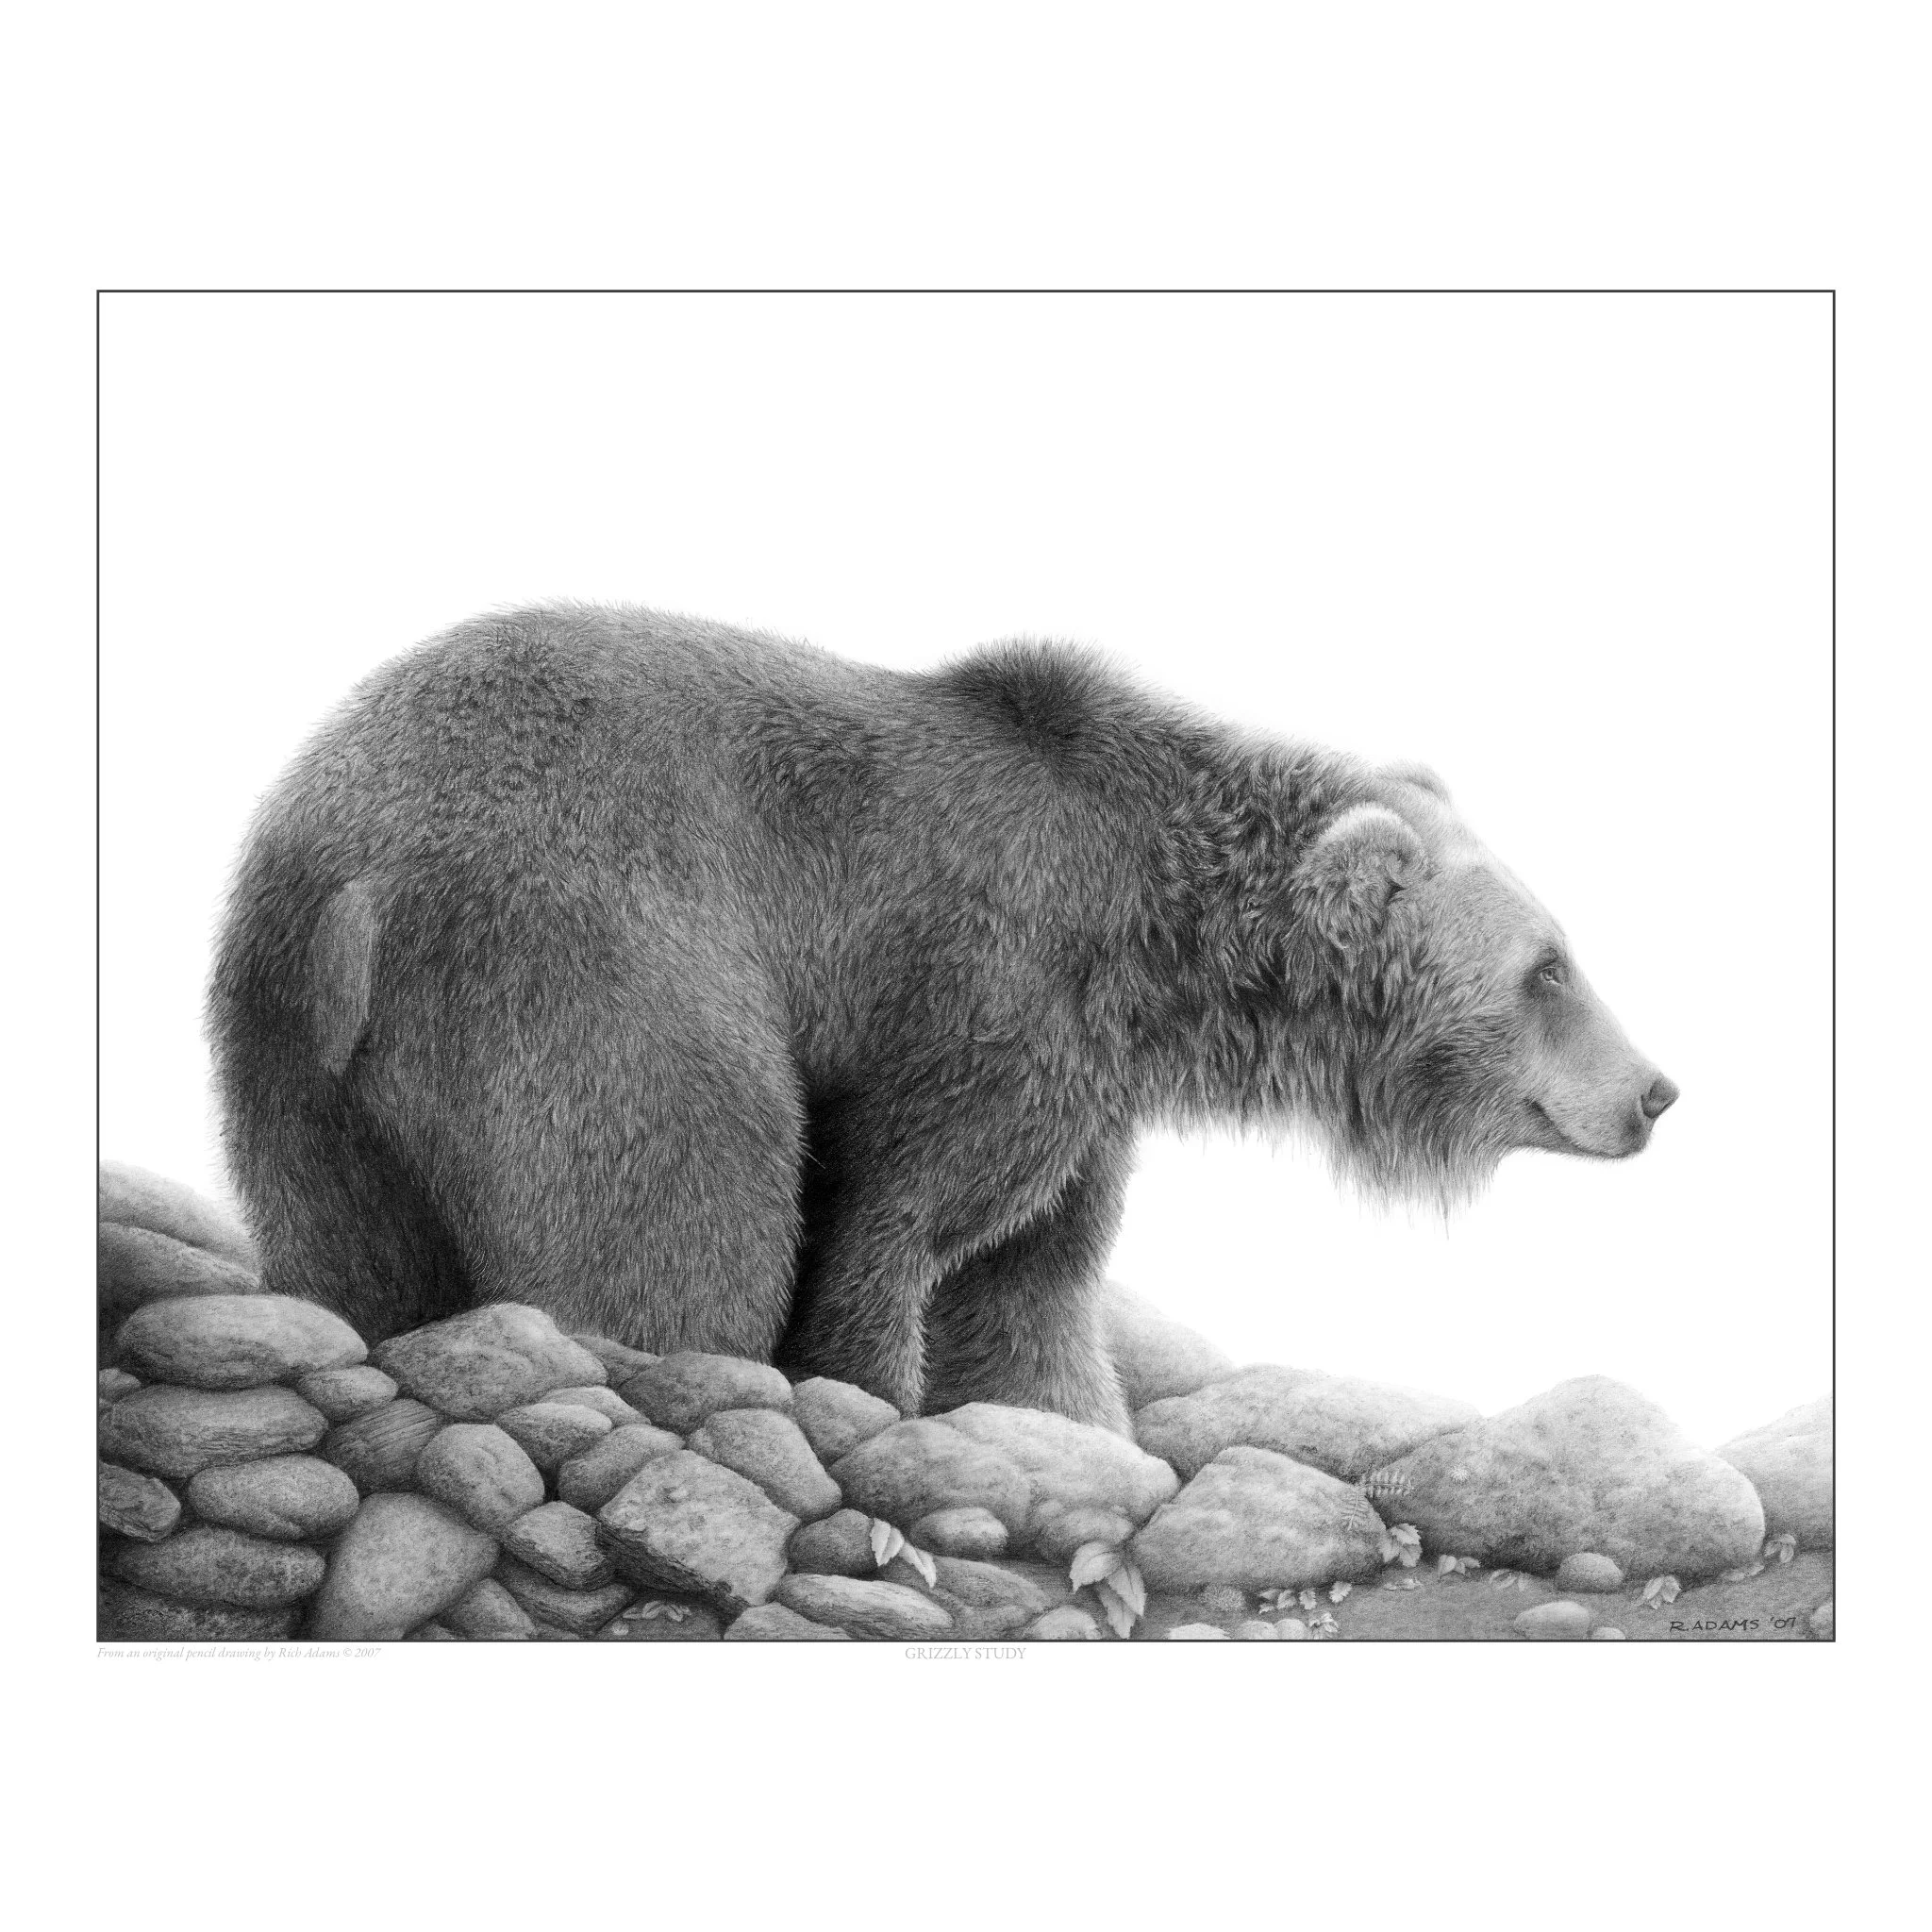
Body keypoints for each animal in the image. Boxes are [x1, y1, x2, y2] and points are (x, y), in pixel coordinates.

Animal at [208, 603, 1677, 1437]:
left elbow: (1023, 1286)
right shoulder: (990, 998)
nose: (1657, 1090)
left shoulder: (1088, 1091)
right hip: (595, 963)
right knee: (680, 1210)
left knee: (351, 1249)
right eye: (1548, 966)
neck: (1152, 939)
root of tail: (352, 878)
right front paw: (872, 1399)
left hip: (289, 1055)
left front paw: (1068, 1426)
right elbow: (899, 1222)